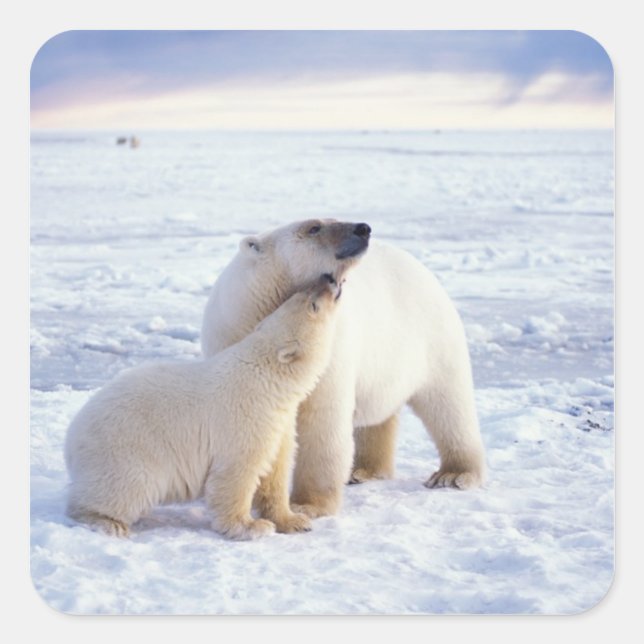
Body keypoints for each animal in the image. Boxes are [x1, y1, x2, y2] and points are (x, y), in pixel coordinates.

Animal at [64, 274, 345, 540]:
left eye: (299, 295)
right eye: (312, 304)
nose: (329, 279)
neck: (267, 378)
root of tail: (71, 439)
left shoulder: (278, 422)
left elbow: (274, 471)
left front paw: (295, 521)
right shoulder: (246, 417)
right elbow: (236, 473)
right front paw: (251, 526)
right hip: (125, 452)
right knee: (126, 488)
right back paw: (106, 522)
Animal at [201, 219, 486, 519]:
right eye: (314, 227)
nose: (363, 228)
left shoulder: (329, 346)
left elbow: (322, 420)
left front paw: (307, 504)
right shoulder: (232, 338)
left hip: (433, 339)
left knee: (448, 405)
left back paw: (453, 474)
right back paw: (364, 470)